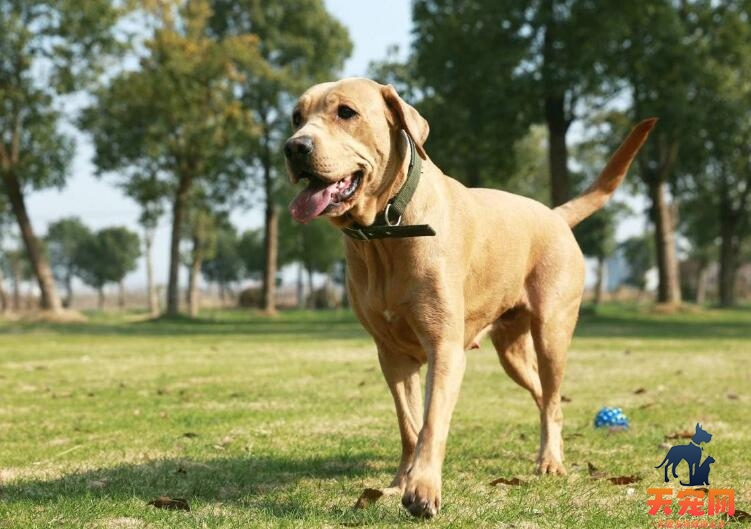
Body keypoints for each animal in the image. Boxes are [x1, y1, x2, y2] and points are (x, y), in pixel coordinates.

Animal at [284, 78, 656, 516]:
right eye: (296, 117)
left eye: (346, 112)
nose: (294, 147)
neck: (385, 232)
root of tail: (554, 215)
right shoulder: (392, 354)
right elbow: (409, 425)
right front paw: (400, 481)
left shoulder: (444, 347)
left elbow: (432, 422)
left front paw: (422, 488)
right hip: (511, 350)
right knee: (544, 396)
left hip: (552, 332)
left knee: (551, 397)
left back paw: (550, 460)